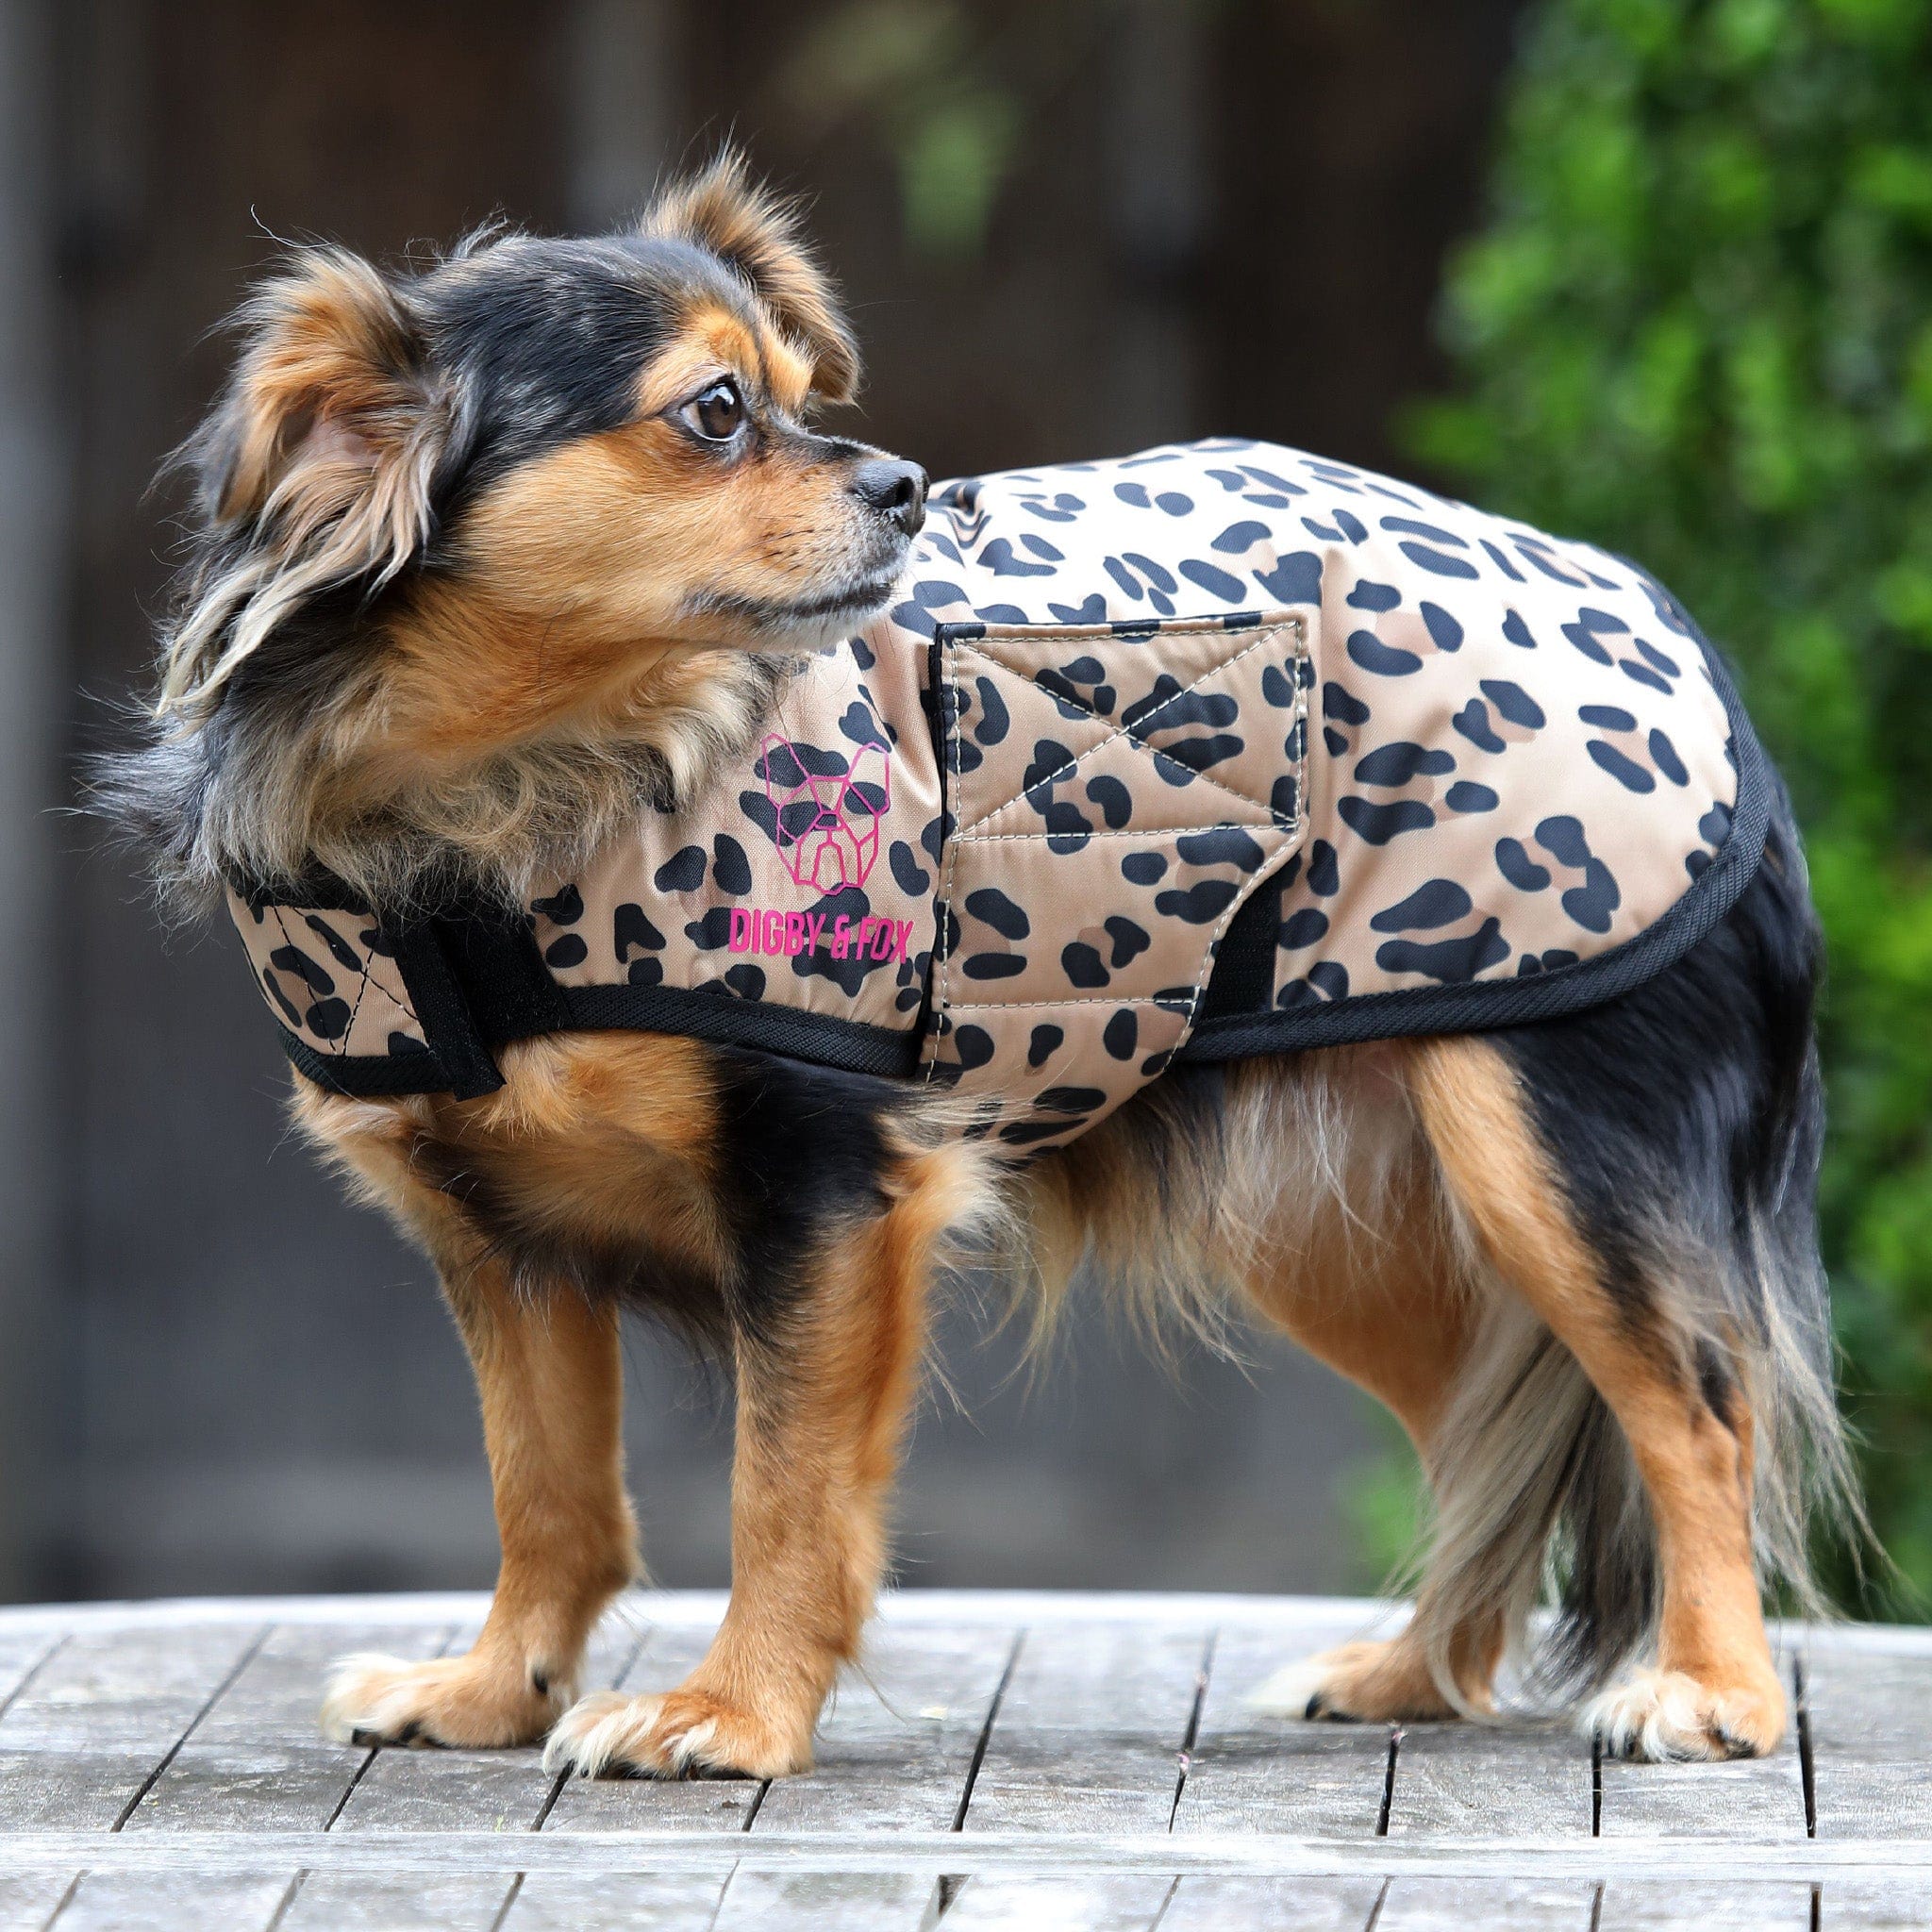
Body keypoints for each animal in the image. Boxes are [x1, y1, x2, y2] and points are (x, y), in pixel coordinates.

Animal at [106, 154, 1855, 1777]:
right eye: (719, 412)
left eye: (804, 395)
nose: (908, 482)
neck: (536, 782)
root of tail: (1692, 650)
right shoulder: (494, 1228)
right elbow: (547, 1491)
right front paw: (491, 1688)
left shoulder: (822, 1186)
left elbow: (784, 1487)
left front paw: (728, 1713)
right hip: (1346, 1221)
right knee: (1489, 1439)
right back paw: (1413, 1672)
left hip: (1542, 1154)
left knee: (1695, 1415)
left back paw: (1712, 1688)